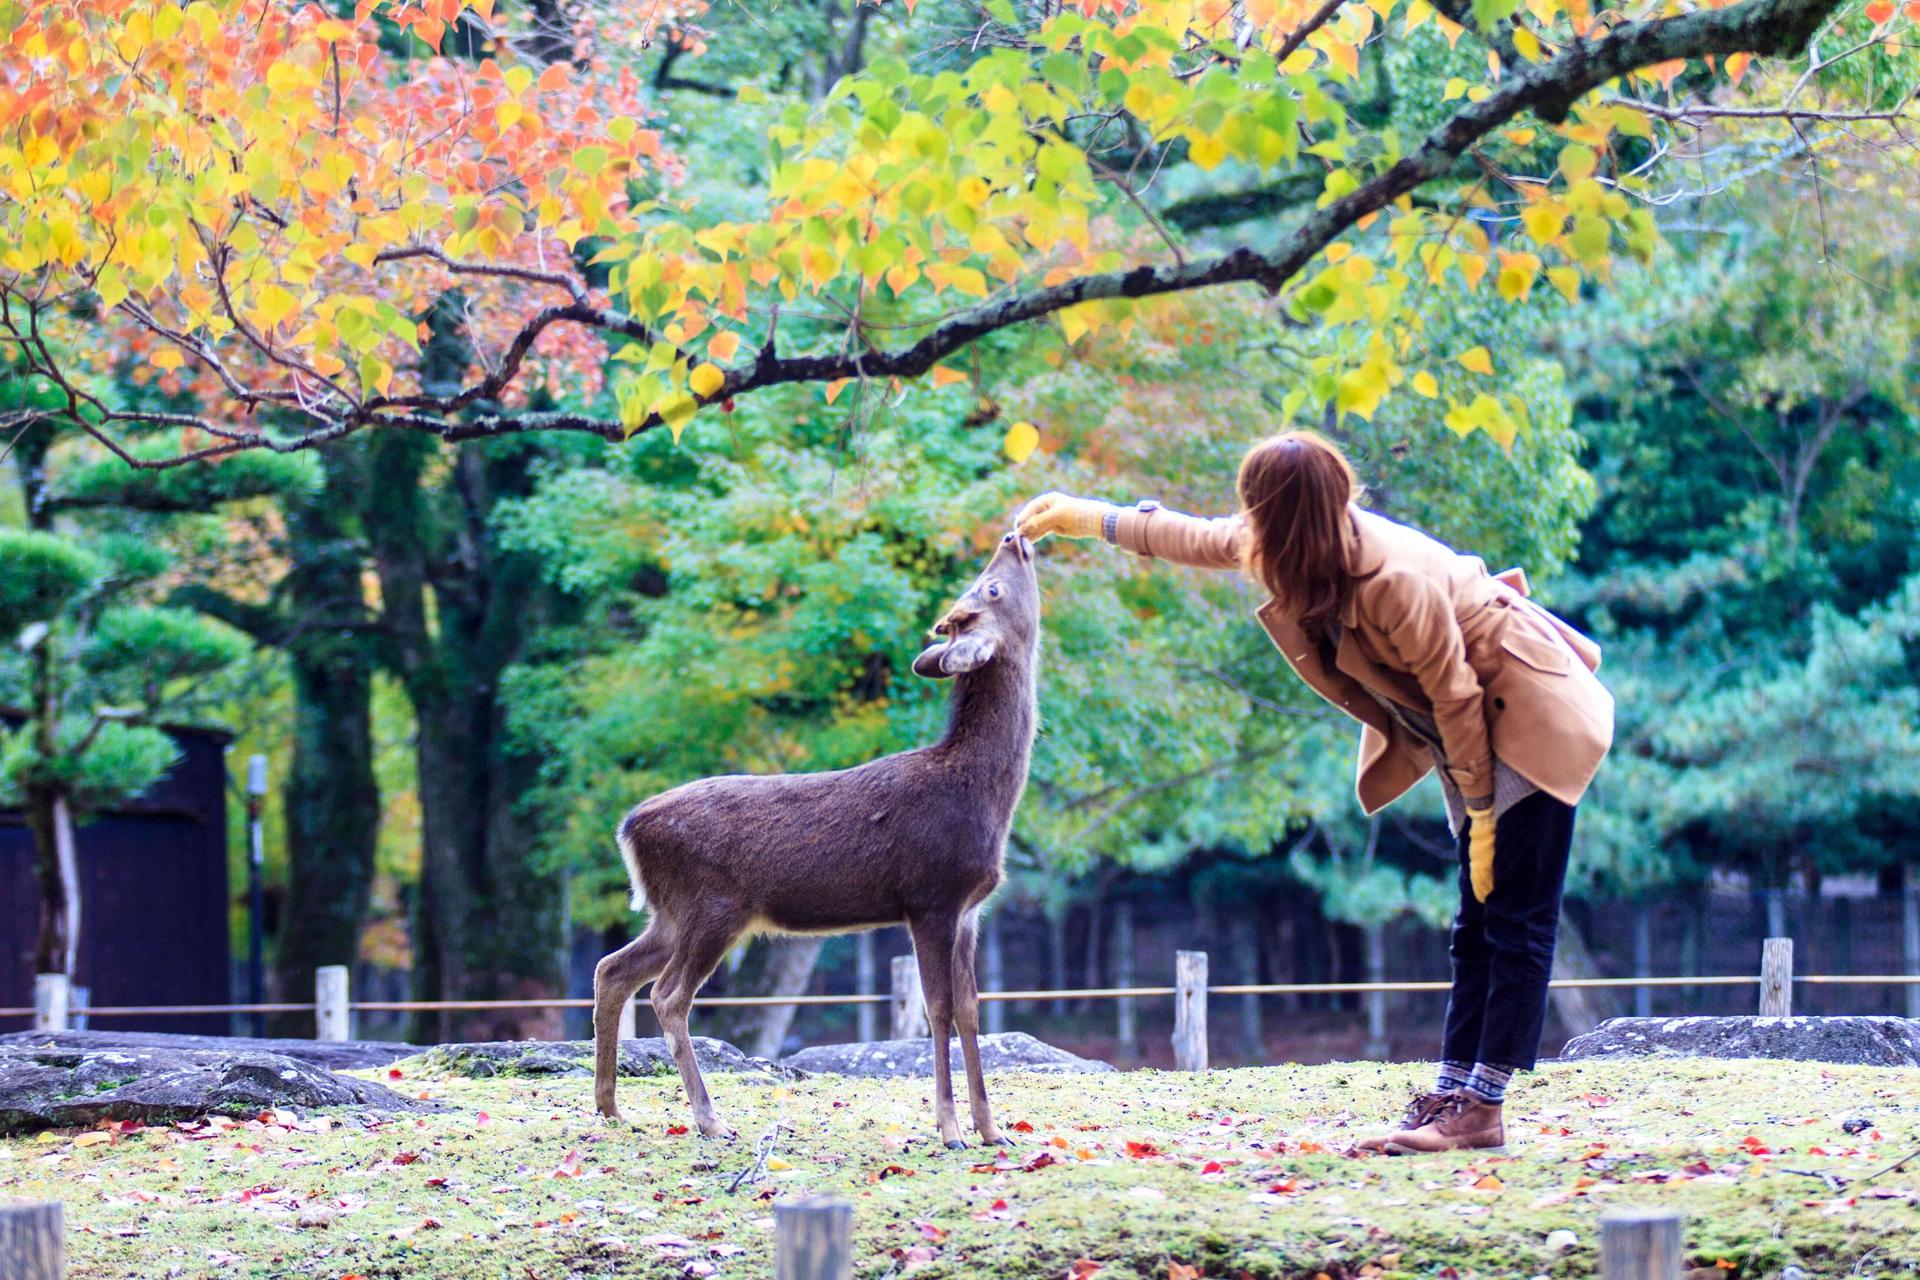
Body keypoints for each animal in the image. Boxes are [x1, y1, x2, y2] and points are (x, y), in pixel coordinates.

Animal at [592, 530, 1040, 1149]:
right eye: (990, 586)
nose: (1014, 537)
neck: (982, 795)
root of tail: (629, 827)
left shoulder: (971, 908)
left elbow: (973, 1009)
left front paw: (993, 1131)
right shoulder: (930, 896)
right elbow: (939, 1009)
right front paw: (949, 1130)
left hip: (672, 912)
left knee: (612, 969)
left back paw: (610, 1106)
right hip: (713, 906)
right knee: (668, 994)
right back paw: (709, 1119)